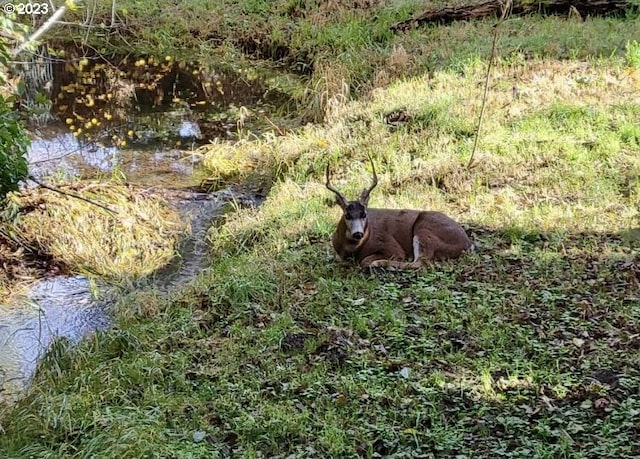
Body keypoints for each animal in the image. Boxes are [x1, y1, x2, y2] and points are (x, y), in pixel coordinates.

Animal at [328, 156, 472, 270]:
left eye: (364, 214)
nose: (358, 233)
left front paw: (373, 262)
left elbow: (364, 261)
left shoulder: (391, 245)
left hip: (425, 230)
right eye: (347, 215)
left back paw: (380, 264)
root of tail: (467, 243)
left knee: (420, 262)